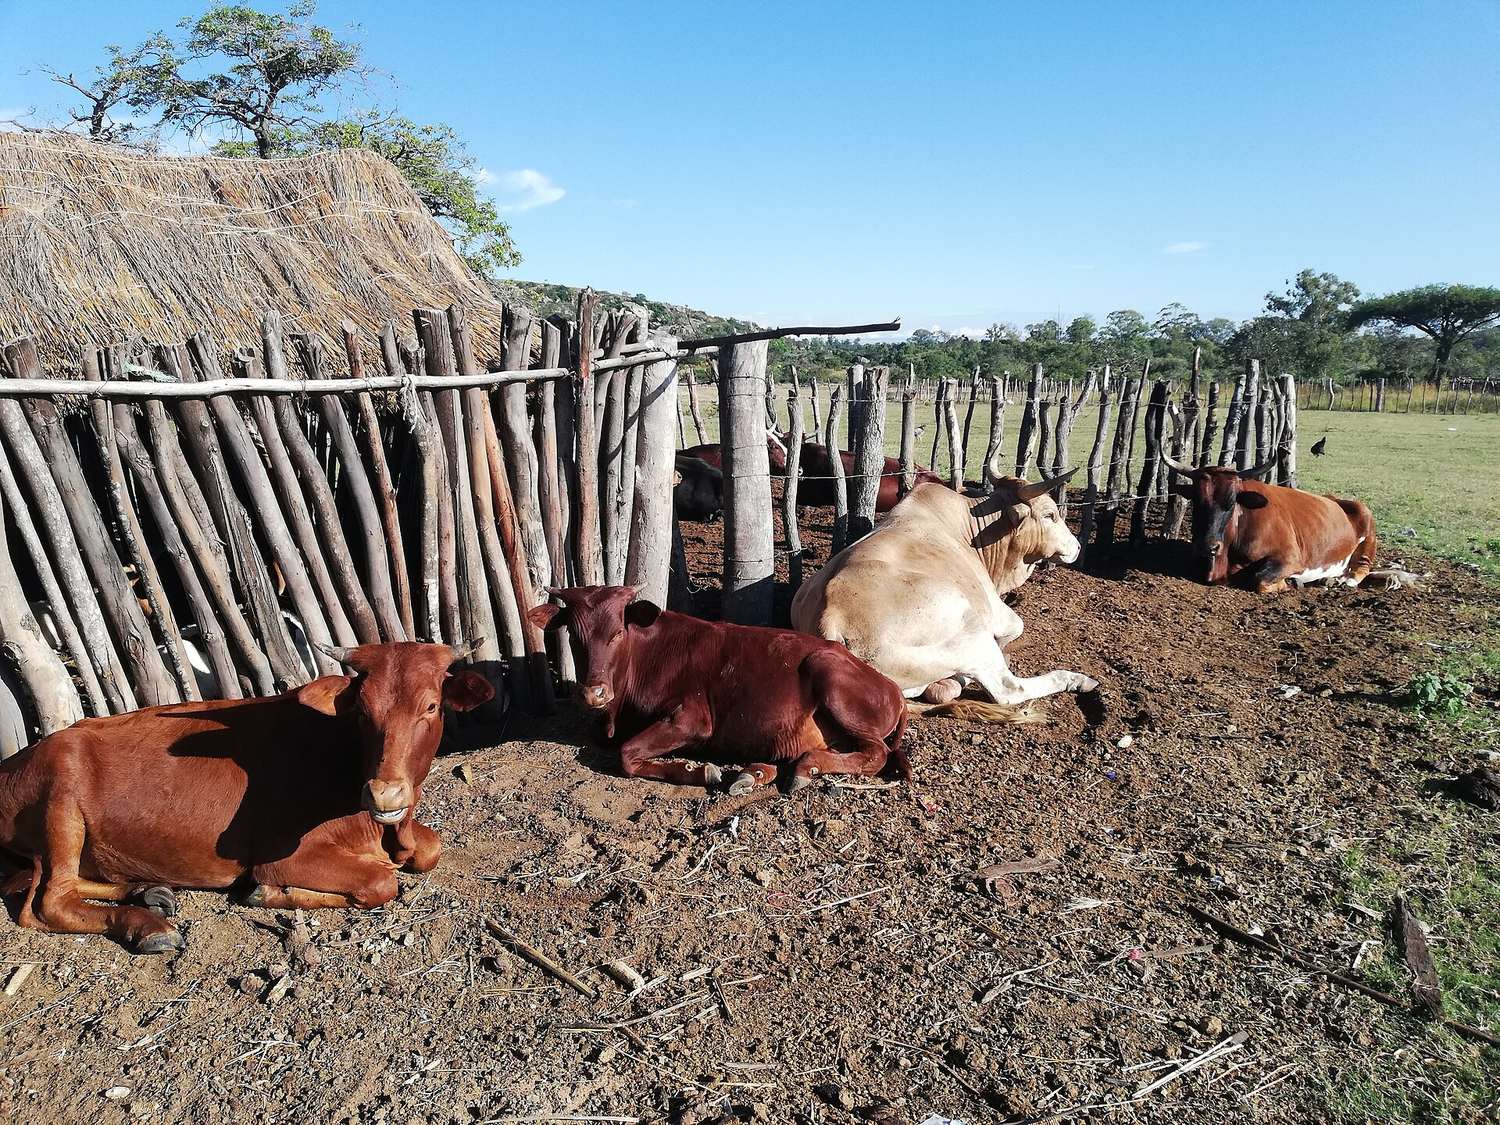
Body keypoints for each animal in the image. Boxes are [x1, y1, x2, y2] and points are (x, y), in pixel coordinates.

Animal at [0, 642, 492, 953]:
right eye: (362, 712)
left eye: (431, 706)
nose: (383, 792)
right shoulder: (283, 855)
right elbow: (380, 882)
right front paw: (271, 893)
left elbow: (430, 848)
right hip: (60, 804)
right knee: (50, 902)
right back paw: (147, 926)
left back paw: (147, 891)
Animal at [529, 585, 909, 795]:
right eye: (573, 635)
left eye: (617, 633)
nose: (594, 693)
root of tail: (892, 687)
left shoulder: (693, 718)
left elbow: (626, 753)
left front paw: (696, 770)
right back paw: (753, 773)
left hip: (831, 676)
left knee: (876, 753)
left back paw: (806, 767)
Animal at [790, 469, 1099, 717]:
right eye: (1050, 514)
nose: (1077, 547)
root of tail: (831, 616)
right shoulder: (997, 612)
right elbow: (1016, 627)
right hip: (972, 633)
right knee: (1007, 688)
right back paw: (1076, 679)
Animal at [1161, 454, 1378, 592]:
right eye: (1196, 501)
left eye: (1232, 502)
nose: (1209, 546)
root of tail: (1336, 499)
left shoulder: (1290, 558)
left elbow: (1260, 579)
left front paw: (1287, 583)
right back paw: (1329, 578)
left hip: (1367, 529)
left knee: (1362, 568)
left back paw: (1344, 580)